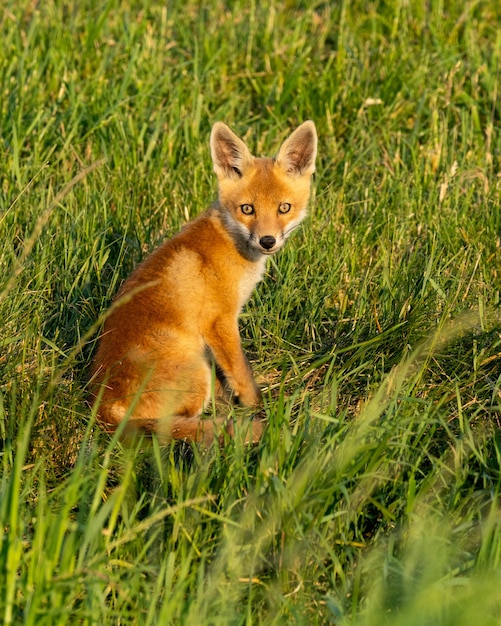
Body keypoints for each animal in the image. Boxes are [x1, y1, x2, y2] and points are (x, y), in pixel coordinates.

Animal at [90, 120, 316, 444]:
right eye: (247, 209)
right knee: (174, 427)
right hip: (196, 371)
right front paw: (256, 407)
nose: (267, 241)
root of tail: (103, 408)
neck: (230, 241)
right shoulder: (219, 321)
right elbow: (241, 372)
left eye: (283, 208)